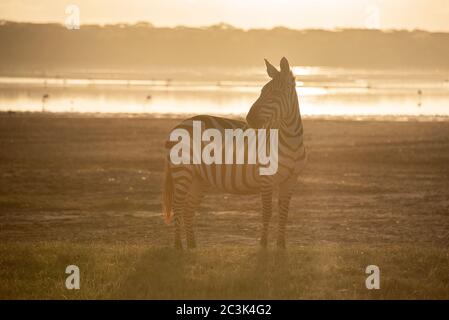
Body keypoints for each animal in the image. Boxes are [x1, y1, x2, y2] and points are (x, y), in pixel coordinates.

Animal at [161, 57, 304, 248]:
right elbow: (267, 211)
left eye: (275, 93)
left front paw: (281, 245)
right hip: (183, 171)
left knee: (188, 208)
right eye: (262, 91)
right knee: (177, 205)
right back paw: (178, 245)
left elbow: (284, 213)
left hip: (199, 178)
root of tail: (178, 125)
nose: (250, 119)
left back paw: (192, 244)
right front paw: (263, 244)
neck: (290, 141)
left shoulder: (291, 180)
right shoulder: (266, 178)